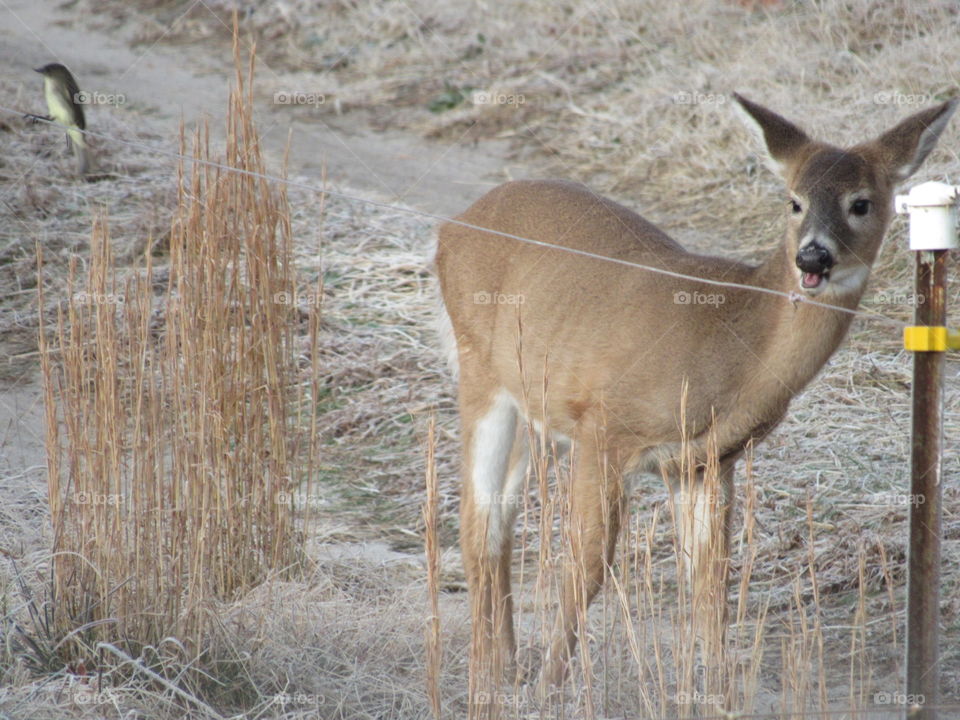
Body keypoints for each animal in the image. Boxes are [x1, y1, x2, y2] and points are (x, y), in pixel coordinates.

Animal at [433, 93, 956, 709]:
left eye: (861, 203)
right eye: (794, 201)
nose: (813, 258)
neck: (731, 344)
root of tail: (450, 228)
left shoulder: (703, 462)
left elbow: (710, 585)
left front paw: (721, 697)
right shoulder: (605, 426)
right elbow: (588, 564)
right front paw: (550, 686)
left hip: (534, 407)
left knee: (499, 518)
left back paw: (505, 665)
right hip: (481, 373)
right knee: (478, 519)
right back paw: (491, 675)